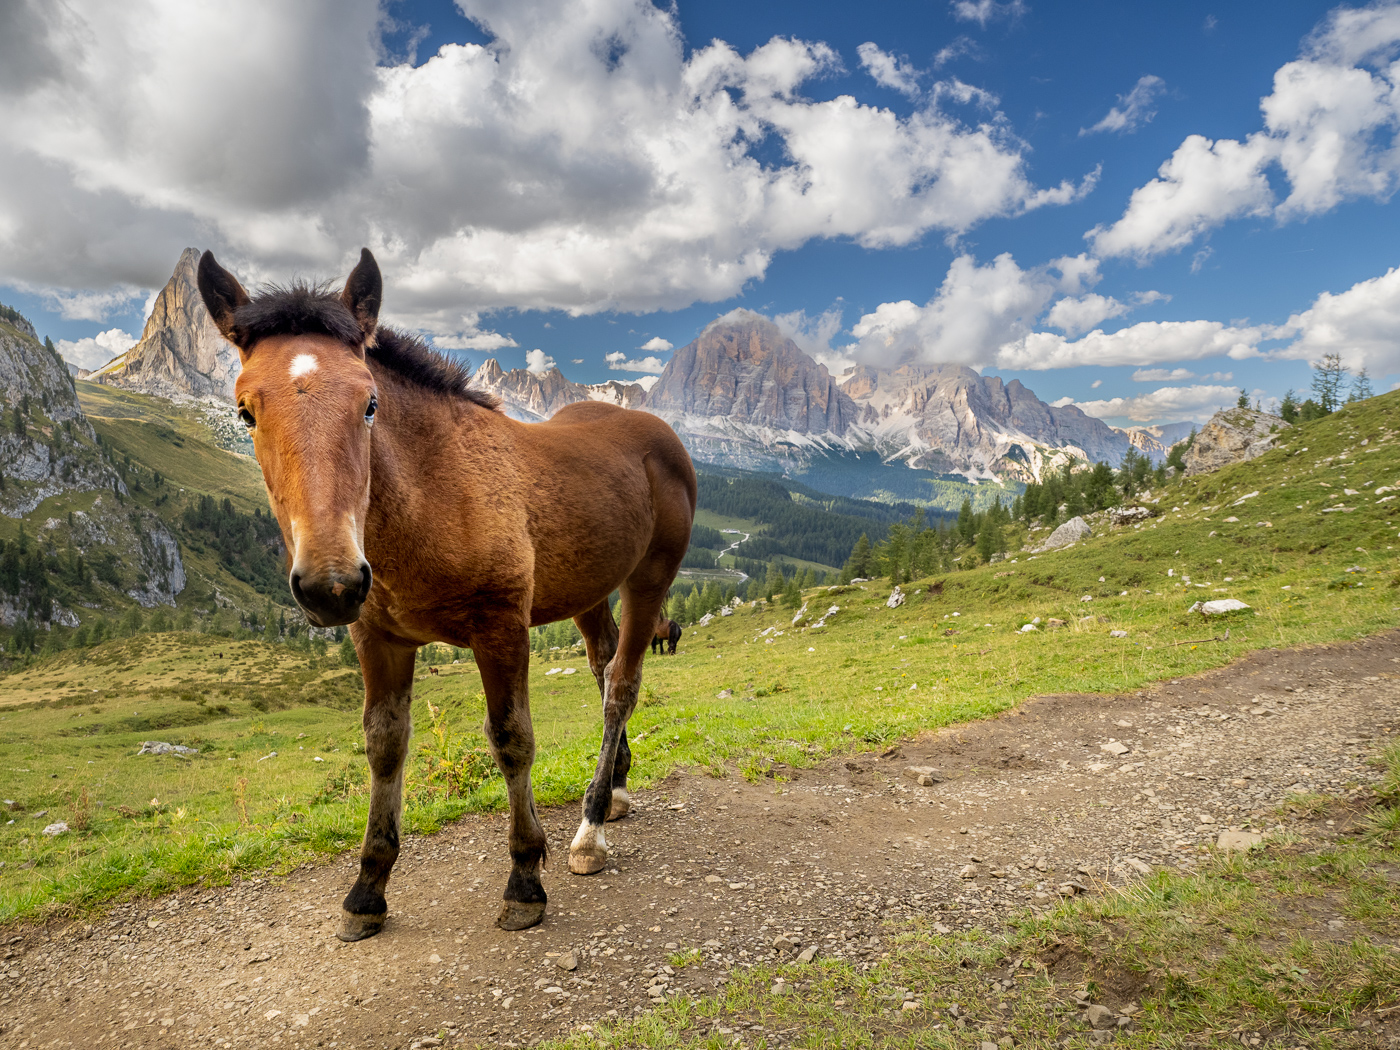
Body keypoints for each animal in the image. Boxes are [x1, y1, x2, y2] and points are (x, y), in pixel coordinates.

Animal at [197, 250, 700, 940]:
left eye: (370, 403)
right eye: (246, 411)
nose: (332, 584)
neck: (433, 492)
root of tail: (659, 433)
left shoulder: (501, 627)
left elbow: (512, 739)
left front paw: (525, 879)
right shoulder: (377, 639)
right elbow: (385, 745)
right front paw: (367, 889)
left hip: (649, 578)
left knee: (621, 686)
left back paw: (591, 829)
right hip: (589, 593)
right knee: (603, 672)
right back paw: (615, 791)